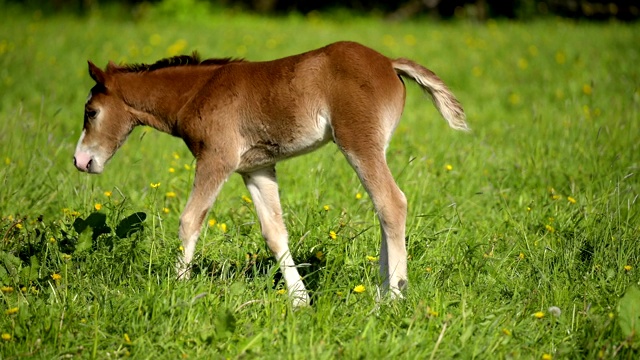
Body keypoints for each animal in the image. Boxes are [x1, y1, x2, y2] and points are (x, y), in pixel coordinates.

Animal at [74, 42, 464, 306]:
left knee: (391, 203)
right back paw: (383, 291)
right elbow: (274, 232)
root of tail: (388, 62)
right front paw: (299, 299)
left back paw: (393, 298)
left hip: (357, 140)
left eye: (91, 112)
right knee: (382, 208)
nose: (81, 161)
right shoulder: (256, 168)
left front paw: (178, 287)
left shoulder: (216, 158)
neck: (197, 91)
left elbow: (189, 220)